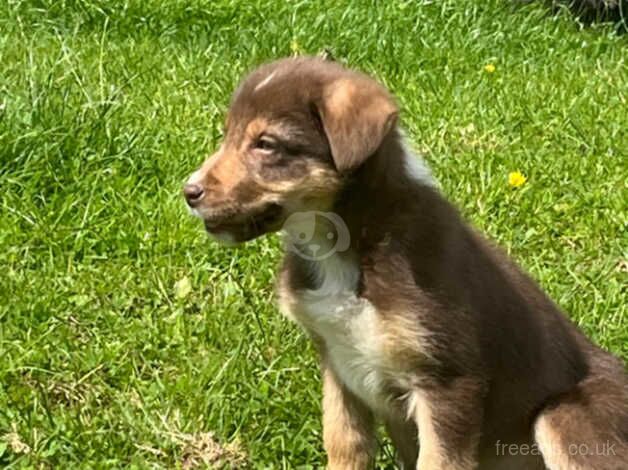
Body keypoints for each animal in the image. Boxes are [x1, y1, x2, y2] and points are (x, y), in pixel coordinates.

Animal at [183, 57, 628, 468]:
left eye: (266, 143)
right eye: (228, 134)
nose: (189, 192)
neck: (348, 247)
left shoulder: (448, 381)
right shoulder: (338, 364)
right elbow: (344, 445)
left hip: (562, 415)